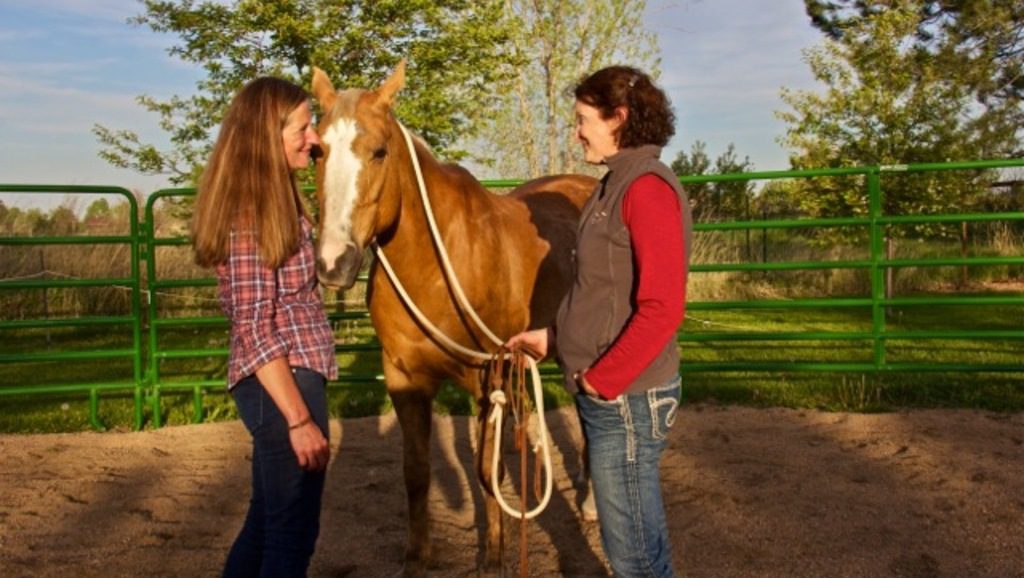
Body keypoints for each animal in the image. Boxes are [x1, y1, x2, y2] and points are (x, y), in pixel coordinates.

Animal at [310, 61, 598, 576]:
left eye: (379, 151)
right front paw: (417, 558)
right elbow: (416, 472)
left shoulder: (489, 377)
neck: (437, 267)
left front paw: (495, 557)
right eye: (316, 151)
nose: (333, 263)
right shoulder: (404, 380)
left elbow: (488, 472)